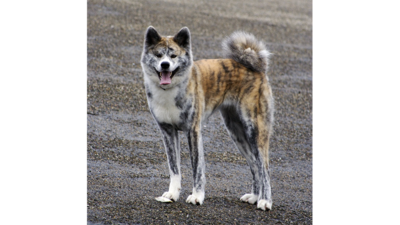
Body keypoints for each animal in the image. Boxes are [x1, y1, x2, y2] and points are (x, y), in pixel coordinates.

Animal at [139, 26, 274, 211]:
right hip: (237, 133)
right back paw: (254, 196)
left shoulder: (193, 131)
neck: (170, 90)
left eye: (173, 56)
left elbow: (197, 168)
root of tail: (257, 69)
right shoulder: (167, 131)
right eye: (159, 55)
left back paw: (265, 201)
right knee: (255, 166)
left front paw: (197, 196)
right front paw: (172, 194)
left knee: (264, 168)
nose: (165, 65)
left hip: (255, 131)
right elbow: (174, 168)